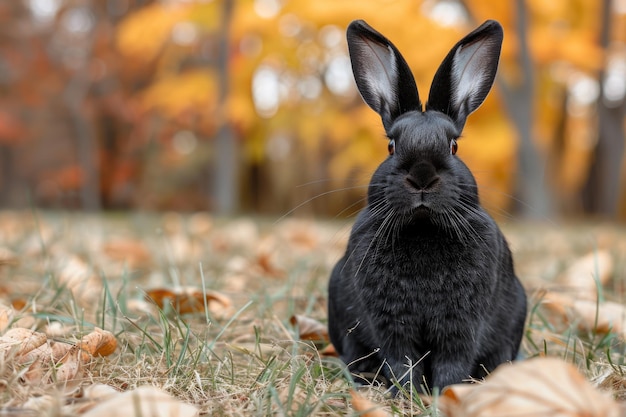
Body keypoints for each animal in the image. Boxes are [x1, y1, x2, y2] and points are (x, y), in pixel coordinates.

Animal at [326, 19, 528, 390]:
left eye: (453, 147)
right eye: (391, 146)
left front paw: (445, 391)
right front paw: (408, 392)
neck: (423, 229)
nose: (422, 175)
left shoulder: (461, 324)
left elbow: (453, 359)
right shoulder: (391, 324)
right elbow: (402, 358)